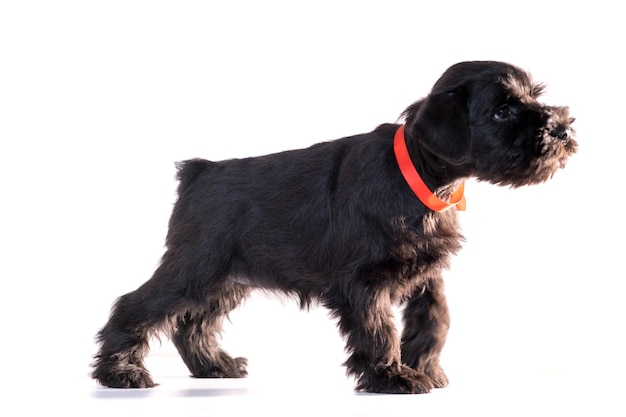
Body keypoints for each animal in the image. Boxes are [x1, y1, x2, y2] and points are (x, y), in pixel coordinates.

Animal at [91, 60, 576, 392]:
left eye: (534, 97)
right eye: (502, 111)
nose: (562, 128)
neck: (423, 176)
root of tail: (199, 171)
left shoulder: (424, 269)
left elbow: (435, 316)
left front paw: (424, 366)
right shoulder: (364, 281)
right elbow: (379, 329)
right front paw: (392, 377)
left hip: (227, 279)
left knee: (192, 324)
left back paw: (215, 366)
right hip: (195, 267)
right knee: (136, 305)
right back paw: (121, 372)